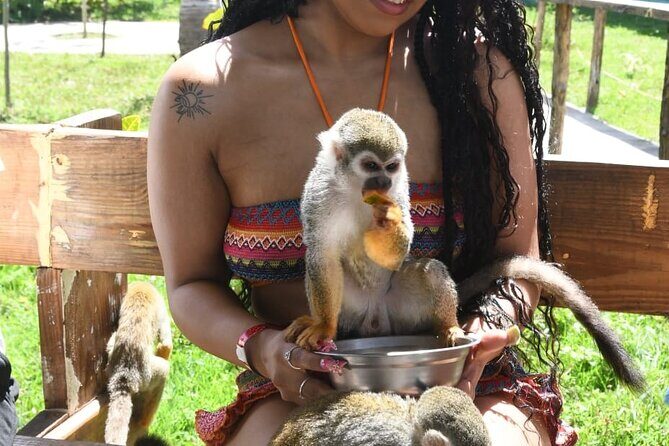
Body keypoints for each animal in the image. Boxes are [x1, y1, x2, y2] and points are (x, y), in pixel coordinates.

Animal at [104, 282, 173, 446]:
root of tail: (124, 375)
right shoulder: (160, 305)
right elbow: (166, 344)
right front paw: (164, 352)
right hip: (147, 376)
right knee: (163, 372)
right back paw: (144, 421)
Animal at [285, 108, 644, 392]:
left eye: (391, 167)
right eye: (371, 165)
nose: (383, 183)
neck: (356, 192)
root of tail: (377, 323)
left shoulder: (401, 187)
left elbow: (395, 252)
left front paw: (390, 222)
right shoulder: (319, 190)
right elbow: (321, 255)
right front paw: (323, 327)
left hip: (402, 310)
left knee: (430, 271)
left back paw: (448, 327)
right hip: (354, 310)